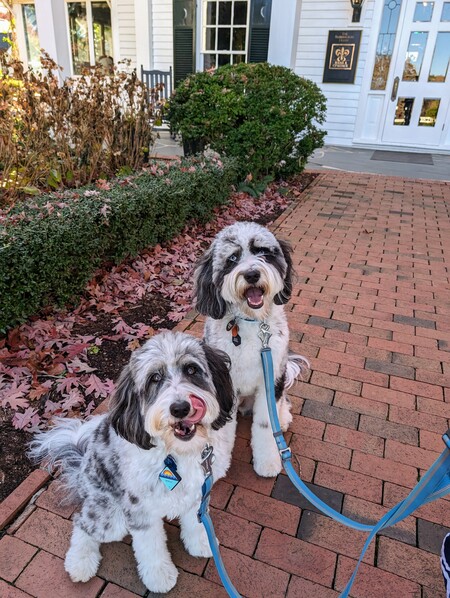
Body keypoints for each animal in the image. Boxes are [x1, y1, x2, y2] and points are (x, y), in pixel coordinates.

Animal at [29, 332, 237, 596]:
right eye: (154, 378)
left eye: (191, 369)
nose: (180, 408)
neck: (176, 451)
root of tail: (82, 469)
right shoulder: (140, 508)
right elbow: (151, 547)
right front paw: (159, 576)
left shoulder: (199, 490)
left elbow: (196, 519)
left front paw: (201, 541)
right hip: (110, 516)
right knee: (82, 523)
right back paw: (80, 562)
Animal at [193, 223, 310, 480]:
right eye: (232, 258)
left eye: (263, 252)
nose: (252, 274)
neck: (251, 321)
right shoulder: (224, 385)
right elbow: (223, 431)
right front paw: (217, 466)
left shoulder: (271, 378)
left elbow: (266, 424)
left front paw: (268, 462)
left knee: (280, 405)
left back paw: (283, 418)